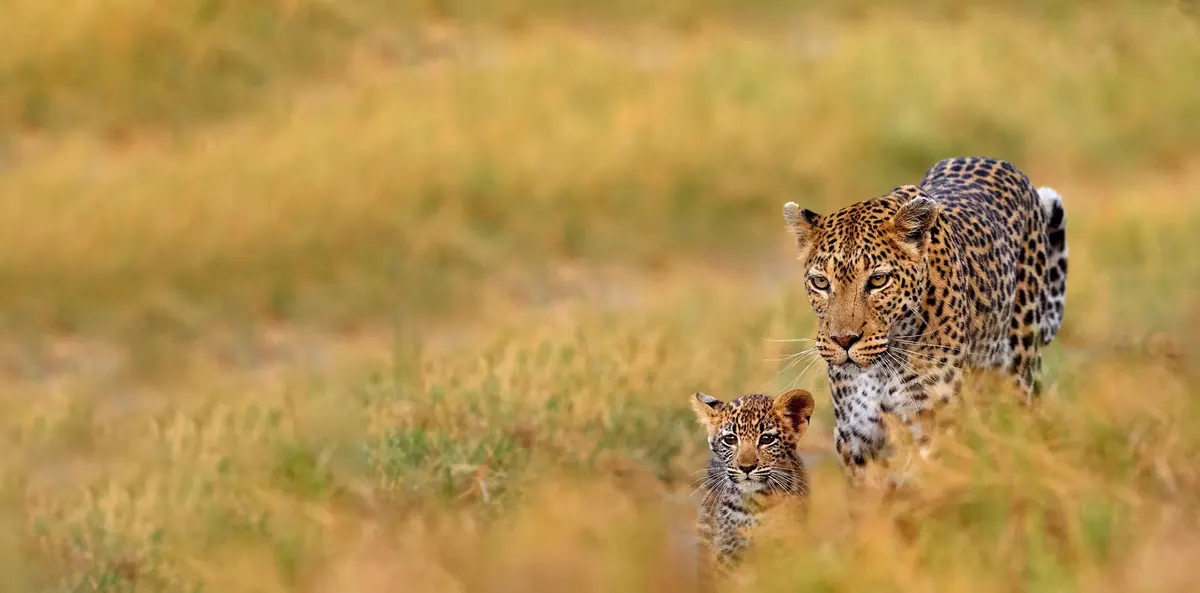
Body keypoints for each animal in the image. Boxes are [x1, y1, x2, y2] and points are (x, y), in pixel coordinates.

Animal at [780, 156, 1068, 480]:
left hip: (1020, 373)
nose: (843, 340)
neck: (881, 368)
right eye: (820, 283)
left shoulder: (935, 424)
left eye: (878, 280)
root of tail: (996, 161)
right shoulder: (856, 438)